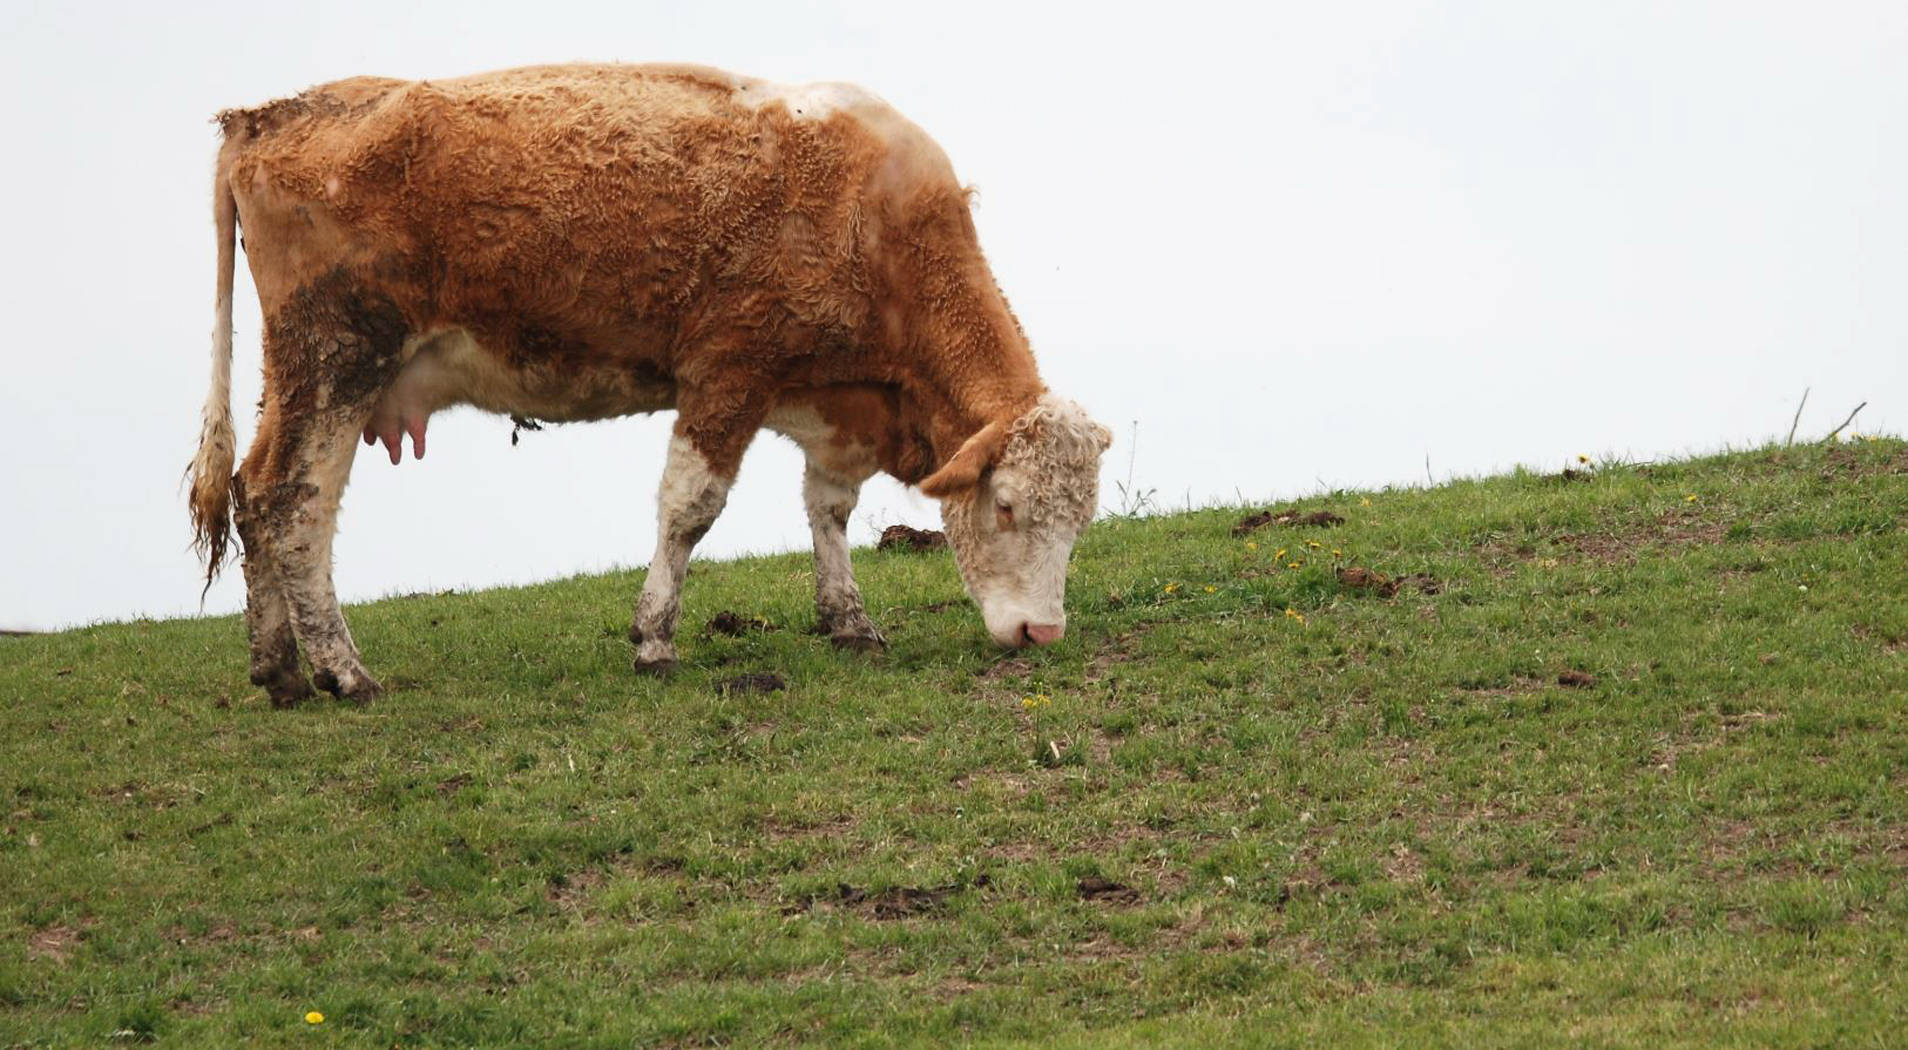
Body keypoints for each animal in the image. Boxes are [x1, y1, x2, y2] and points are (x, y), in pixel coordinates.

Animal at [186, 63, 1114, 706]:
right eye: (1005, 507)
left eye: (1081, 521)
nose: (1043, 631)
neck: (873, 219)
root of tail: (269, 116)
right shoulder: (728, 367)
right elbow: (690, 508)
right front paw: (655, 640)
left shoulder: (833, 400)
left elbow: (828, 509)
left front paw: (848, 621)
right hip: (337, 357)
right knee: (294, 503)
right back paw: (344, 671)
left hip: (296, 377)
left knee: (250, 492)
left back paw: (279, 670)